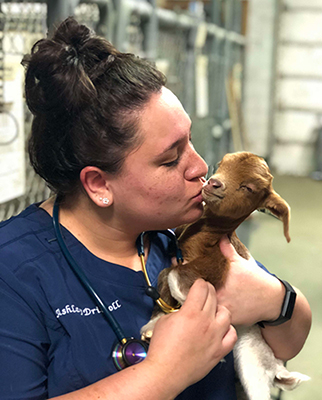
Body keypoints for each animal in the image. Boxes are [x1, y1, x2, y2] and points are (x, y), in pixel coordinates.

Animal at [142, 151, 310, 400]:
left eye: (248, 187)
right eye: (221, 164)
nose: (213, 183)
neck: (203, 234)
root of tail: (278, 369)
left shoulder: (218, 264)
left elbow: (172, 273)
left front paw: (182, 297)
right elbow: (166, 275)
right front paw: (153, 325)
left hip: (251, 362)